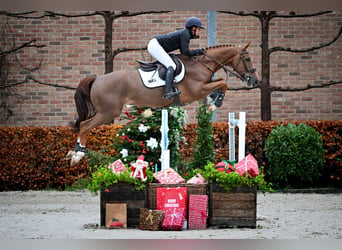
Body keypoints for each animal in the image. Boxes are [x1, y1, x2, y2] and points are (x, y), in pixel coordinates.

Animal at [66, 43, 260, 166]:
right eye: (248, 59)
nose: (255, 80)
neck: (201, 65)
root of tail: (97, 78)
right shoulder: (197, 91)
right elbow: (222, 83)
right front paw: (217, 100)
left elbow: (220, 82)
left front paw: (214, 99)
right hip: (107, 113)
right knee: (85, 125)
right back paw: (78, 155)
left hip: (103, 112)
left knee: (83, 124)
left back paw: (74, 153)